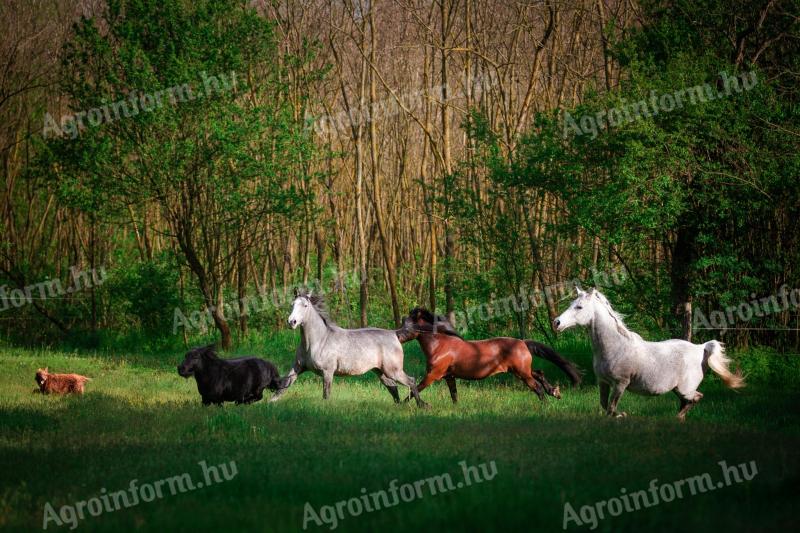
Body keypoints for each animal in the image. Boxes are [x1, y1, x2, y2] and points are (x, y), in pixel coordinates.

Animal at [272, 288, 428, 406]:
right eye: (292, 304)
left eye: (305, 306)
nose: (292, 322)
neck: (317, 341)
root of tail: (394, 333)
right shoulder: (297, 368)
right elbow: (284, 386)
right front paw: (270, 402)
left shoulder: (327, 372)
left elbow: (326, 394)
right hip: (381, 372)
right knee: (393, 388)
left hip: (393, 371)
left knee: (411, 381)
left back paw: (422, 405)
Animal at [398, 308, 580, 404]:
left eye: (406, 325)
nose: (397, 335)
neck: (440, 346)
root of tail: (522, 343)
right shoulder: (449, 376)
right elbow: (454, 395)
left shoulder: (433, 375)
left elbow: (415, 389)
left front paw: (402, 405)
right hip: (521, 370)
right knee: (539, 374)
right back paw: (554, 392)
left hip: (521, 373)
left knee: (536, 387)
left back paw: (545, 403)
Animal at [552, 288, 744, 418]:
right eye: (571, 304)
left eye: (579, 307)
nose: (556, 322)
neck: (615, 347)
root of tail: (700, 348)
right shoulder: (603, 382)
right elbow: (604, 406)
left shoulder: (620, 383)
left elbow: (611, 409)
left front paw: (622, 416)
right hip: (677, 389)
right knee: (686, 402)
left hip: (686, 388)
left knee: (696, 398)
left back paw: (677, 419)